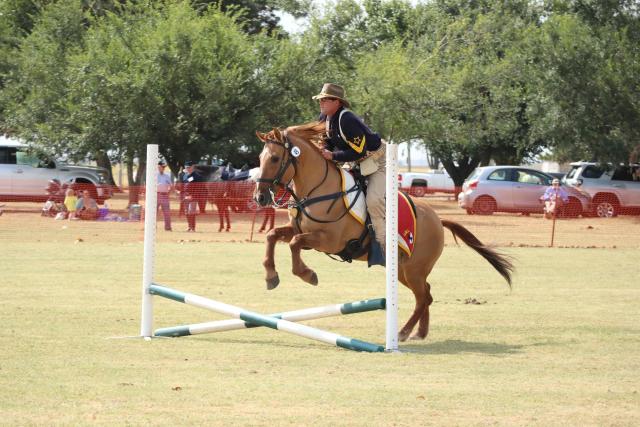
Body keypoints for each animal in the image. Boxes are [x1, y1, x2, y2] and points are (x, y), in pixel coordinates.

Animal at [252, 123, 512, 342]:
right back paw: (419, 332)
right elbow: (273, 236)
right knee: (426, 295)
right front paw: (270, 276)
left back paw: (403, 333)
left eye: (275, 158)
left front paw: (307, 274)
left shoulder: (329, 240)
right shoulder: (301, 231)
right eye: (260, 158)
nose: (260, 197)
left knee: (422, 297)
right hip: (403, 271)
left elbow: (295, 243)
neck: (319, 190)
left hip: (413, 270)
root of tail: (438, 220)